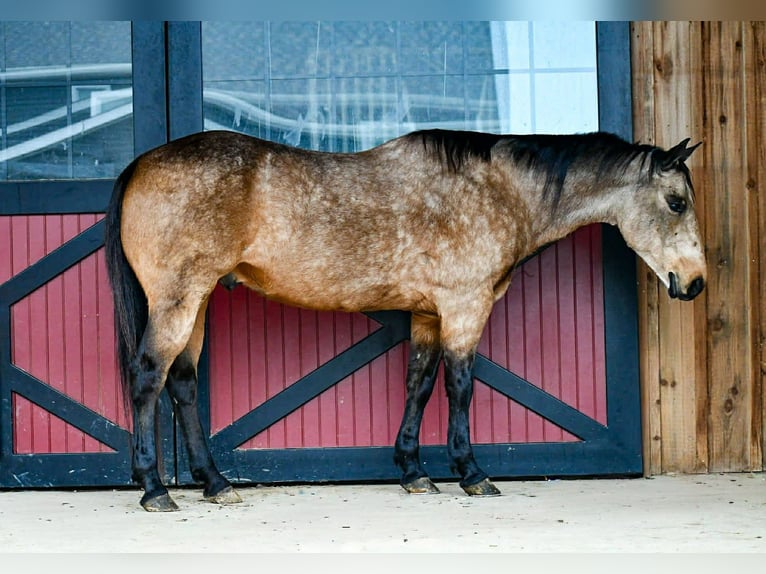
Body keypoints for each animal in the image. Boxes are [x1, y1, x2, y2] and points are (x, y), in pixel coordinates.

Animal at [104, 128, 706, 511]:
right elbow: (460, 387)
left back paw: (215, 483)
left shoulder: (426, 315)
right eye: (676, 202)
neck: (496, 191)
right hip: (177, 299)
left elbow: (419, 383)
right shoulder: (465, 307)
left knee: (182, 383)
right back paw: (156, 489)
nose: (695, 282)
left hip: (199, 300)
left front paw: (414, 472)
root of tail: (140, 164)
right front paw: (471, 474)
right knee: (148, 376)